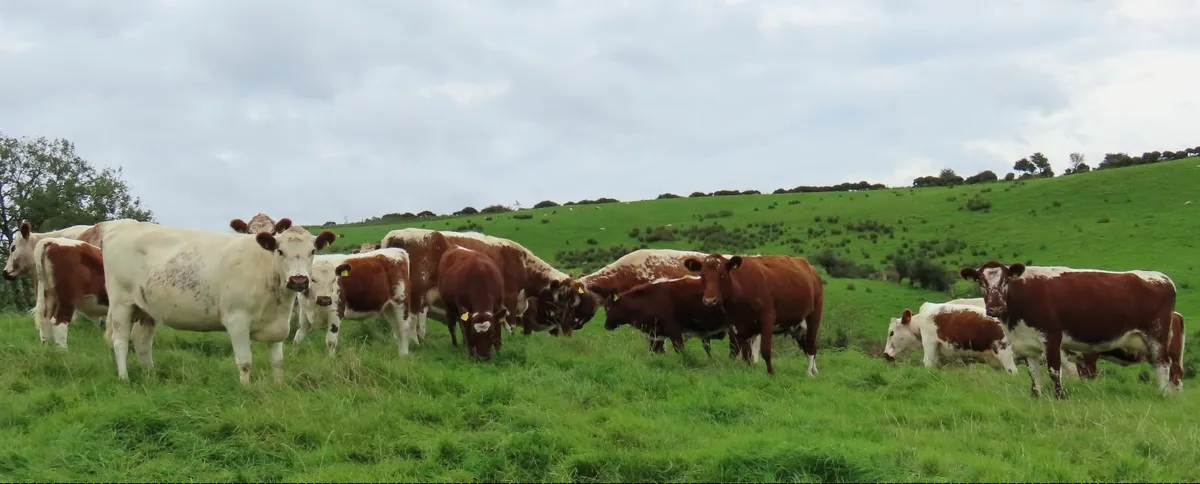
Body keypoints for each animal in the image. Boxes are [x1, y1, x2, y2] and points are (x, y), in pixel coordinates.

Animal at [102, 218, 337, 384]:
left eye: (312, 251)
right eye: (280, 251)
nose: (299, 280)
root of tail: (117, 226)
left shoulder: (278, 324)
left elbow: (278, 362)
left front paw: (278, 386)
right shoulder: (237, 320)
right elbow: (245, 362)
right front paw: (246, 390)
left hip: (147, 309)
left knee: (142, 342)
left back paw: (150, 375)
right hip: (121, 304)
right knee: (120, 340)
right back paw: (124, 378)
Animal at [381, 228, 571, 339]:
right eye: (562, 298)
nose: (569, 327)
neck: (522, 263)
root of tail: (394, 236)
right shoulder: (510, 296)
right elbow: (510, 324)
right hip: (414, 294)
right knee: (410, 320)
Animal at [683, 253, 824, 376]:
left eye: (722, 274)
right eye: (702, 275)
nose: (709, 300)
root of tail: (810, 268)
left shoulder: (767, 319)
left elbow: (765, 350)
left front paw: (771, 373)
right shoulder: (738, 326)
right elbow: (746, 354)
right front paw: (749, 371)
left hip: (814, 316)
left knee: (811, 345)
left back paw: (809, 373)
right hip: (795, 325)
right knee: (807, 346)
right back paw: (815, 370)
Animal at [960, 261, 1179, 398]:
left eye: (1005, 280)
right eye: (981, 281)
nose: (995, 307)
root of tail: (1161, 277)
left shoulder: (1052, 337)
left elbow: (1054, 370)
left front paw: (1060, 396)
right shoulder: (1027, 343)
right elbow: (1033, 372)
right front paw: (1036, 395)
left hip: (1156, 335)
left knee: (1162, 364)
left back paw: (1163, 394)